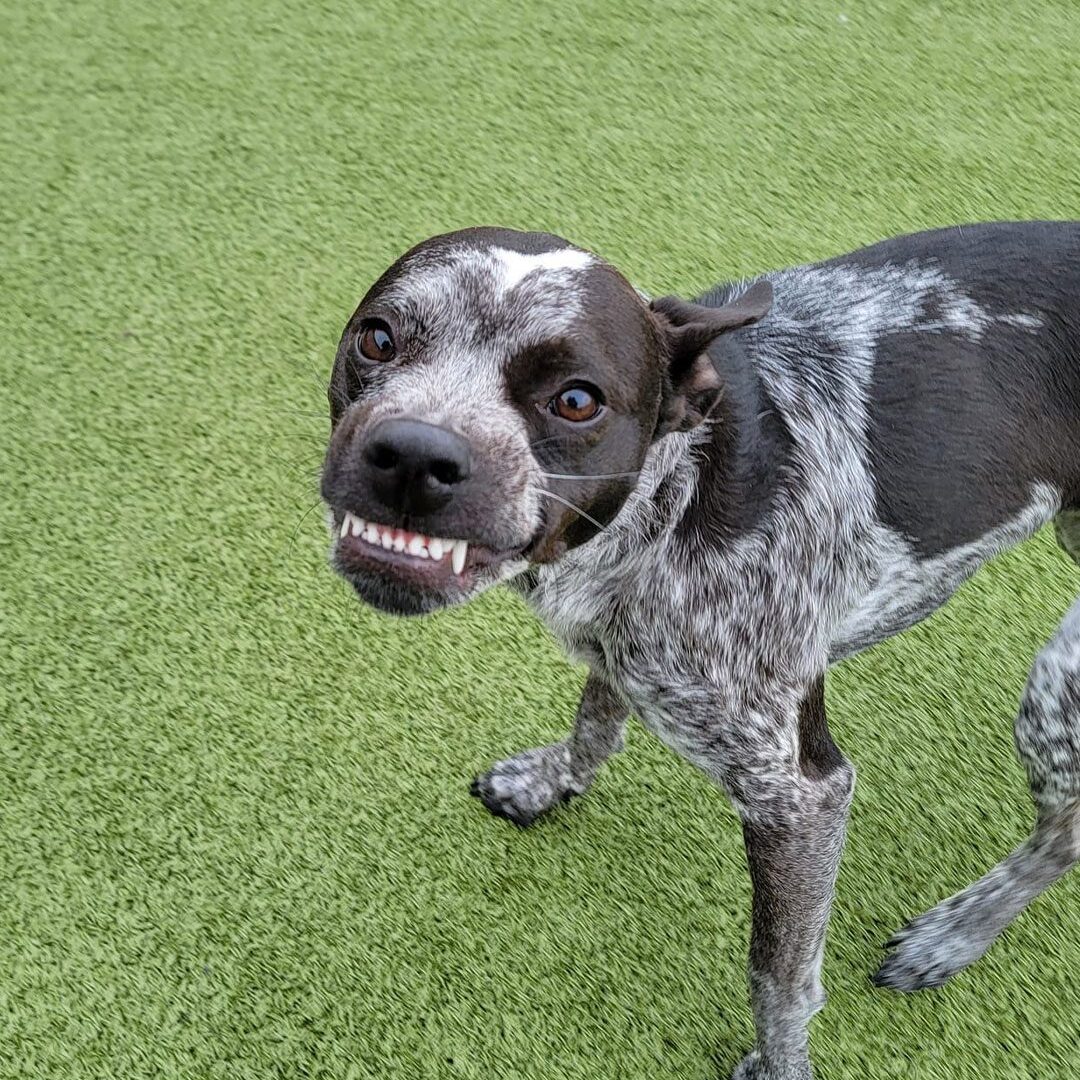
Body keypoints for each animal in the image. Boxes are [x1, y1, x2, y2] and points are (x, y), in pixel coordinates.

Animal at [319, 221, 1080, 1080]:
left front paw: (782, 1067)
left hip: (1055, 684)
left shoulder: (801, 798)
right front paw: (553, 781)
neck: (673, 494)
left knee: (1066, 830)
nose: (415, 456)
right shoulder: (617, 642)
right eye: (378, 339)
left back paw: (955, 935)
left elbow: (778, 978)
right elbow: (596, 717)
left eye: (576, 399)